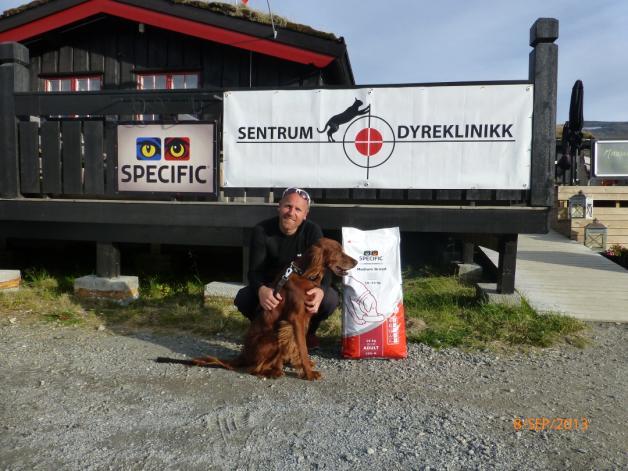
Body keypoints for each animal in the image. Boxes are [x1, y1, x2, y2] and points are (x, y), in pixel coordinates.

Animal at [157, 240, 356, 380]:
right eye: (338, 251)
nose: (355, 261)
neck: (303, 273)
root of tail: (243, 355)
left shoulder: (303, 319)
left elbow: (297, 346)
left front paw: (301, 365)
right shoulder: (296, 319)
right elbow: (302, 347)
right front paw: (308, 373)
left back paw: (277, 367)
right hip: (273, 336)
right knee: (254, 369)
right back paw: (273, 372)